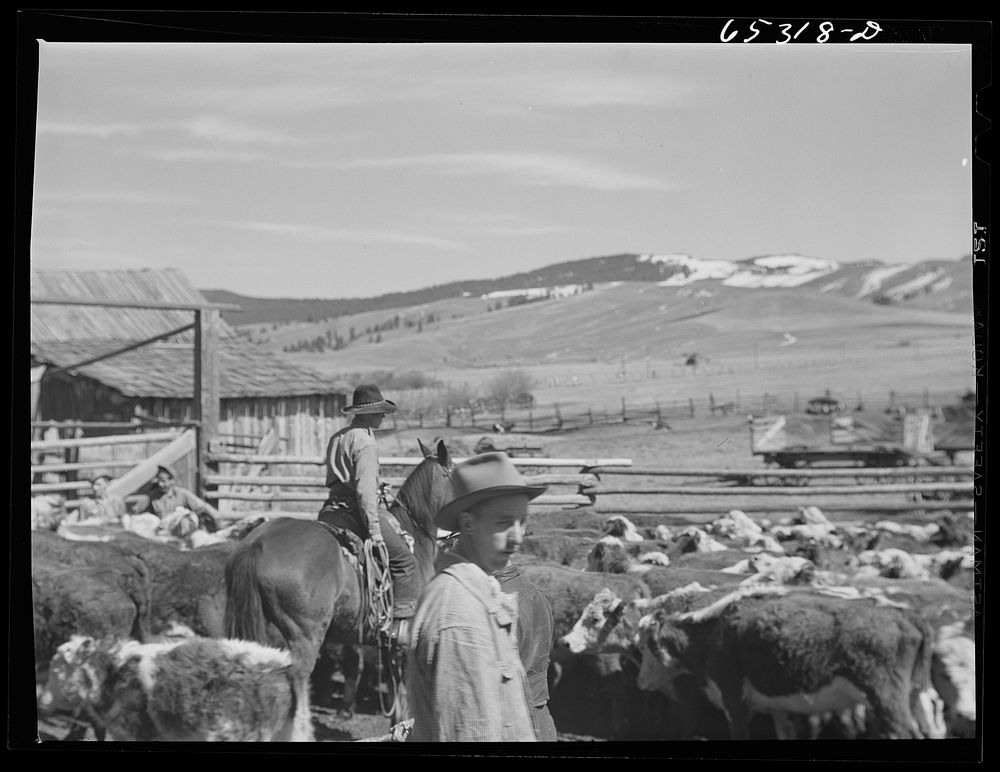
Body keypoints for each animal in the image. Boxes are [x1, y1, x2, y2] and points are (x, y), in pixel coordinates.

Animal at [636, 584, 940, 740]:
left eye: (644, 647)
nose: (640, 682)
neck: (712, 632)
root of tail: (904, 613)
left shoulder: (734, 700)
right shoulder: (776, 706)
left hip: (887, 697)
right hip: (916, 695)